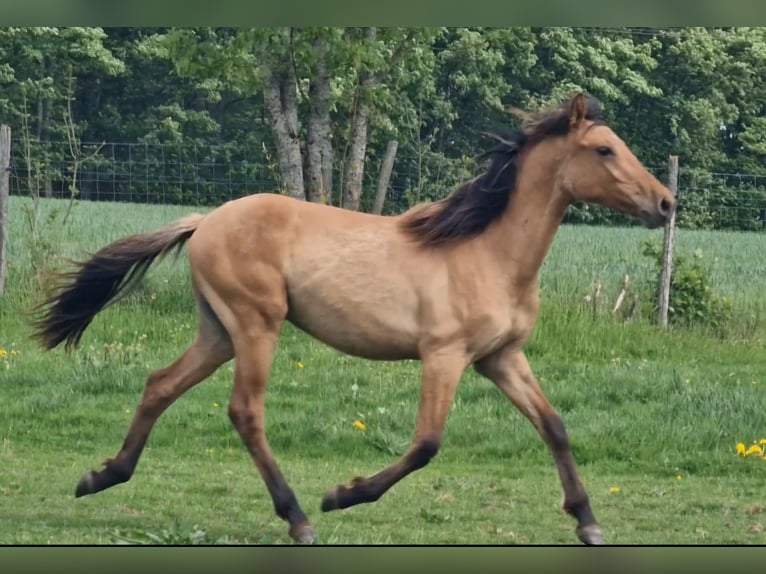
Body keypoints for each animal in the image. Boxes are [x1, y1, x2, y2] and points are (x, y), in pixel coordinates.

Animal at [31, 93, 676, 545]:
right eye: (604, 150)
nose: (666, 203)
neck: (488, 253)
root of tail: (206, 219)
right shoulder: (445, 355)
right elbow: (427, 444)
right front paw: (343, 494)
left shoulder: (501, 357)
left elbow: (555, 426)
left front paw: (588, 522)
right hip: (255, 325)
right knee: (245, 412)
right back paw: (298, 517)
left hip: (218, 331)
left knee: (159, 385)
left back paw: (100, 477)